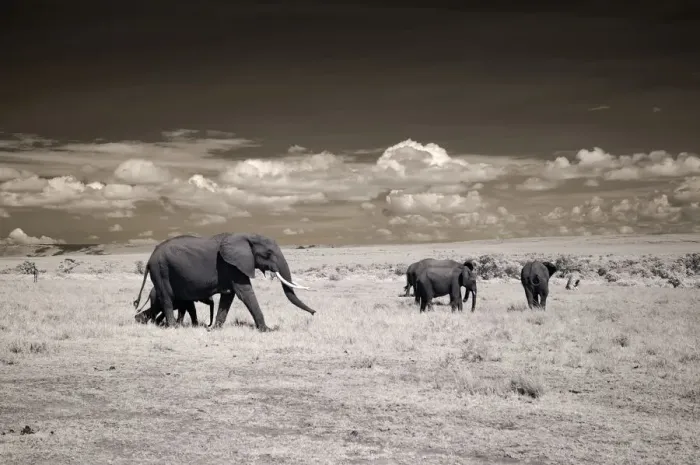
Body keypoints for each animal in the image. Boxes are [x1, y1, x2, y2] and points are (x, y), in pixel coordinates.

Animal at [132, 233, 316, 330]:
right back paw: (173, 327)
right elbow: (245, 293)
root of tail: (149, 259)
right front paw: (267, 330)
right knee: (167, 298)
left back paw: (141, 320)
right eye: (268, 254)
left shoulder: (233, 267)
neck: (247, 236)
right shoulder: (233, 265)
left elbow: (229, 296)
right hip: (161, 269)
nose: (314, 313)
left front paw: (216, 329)